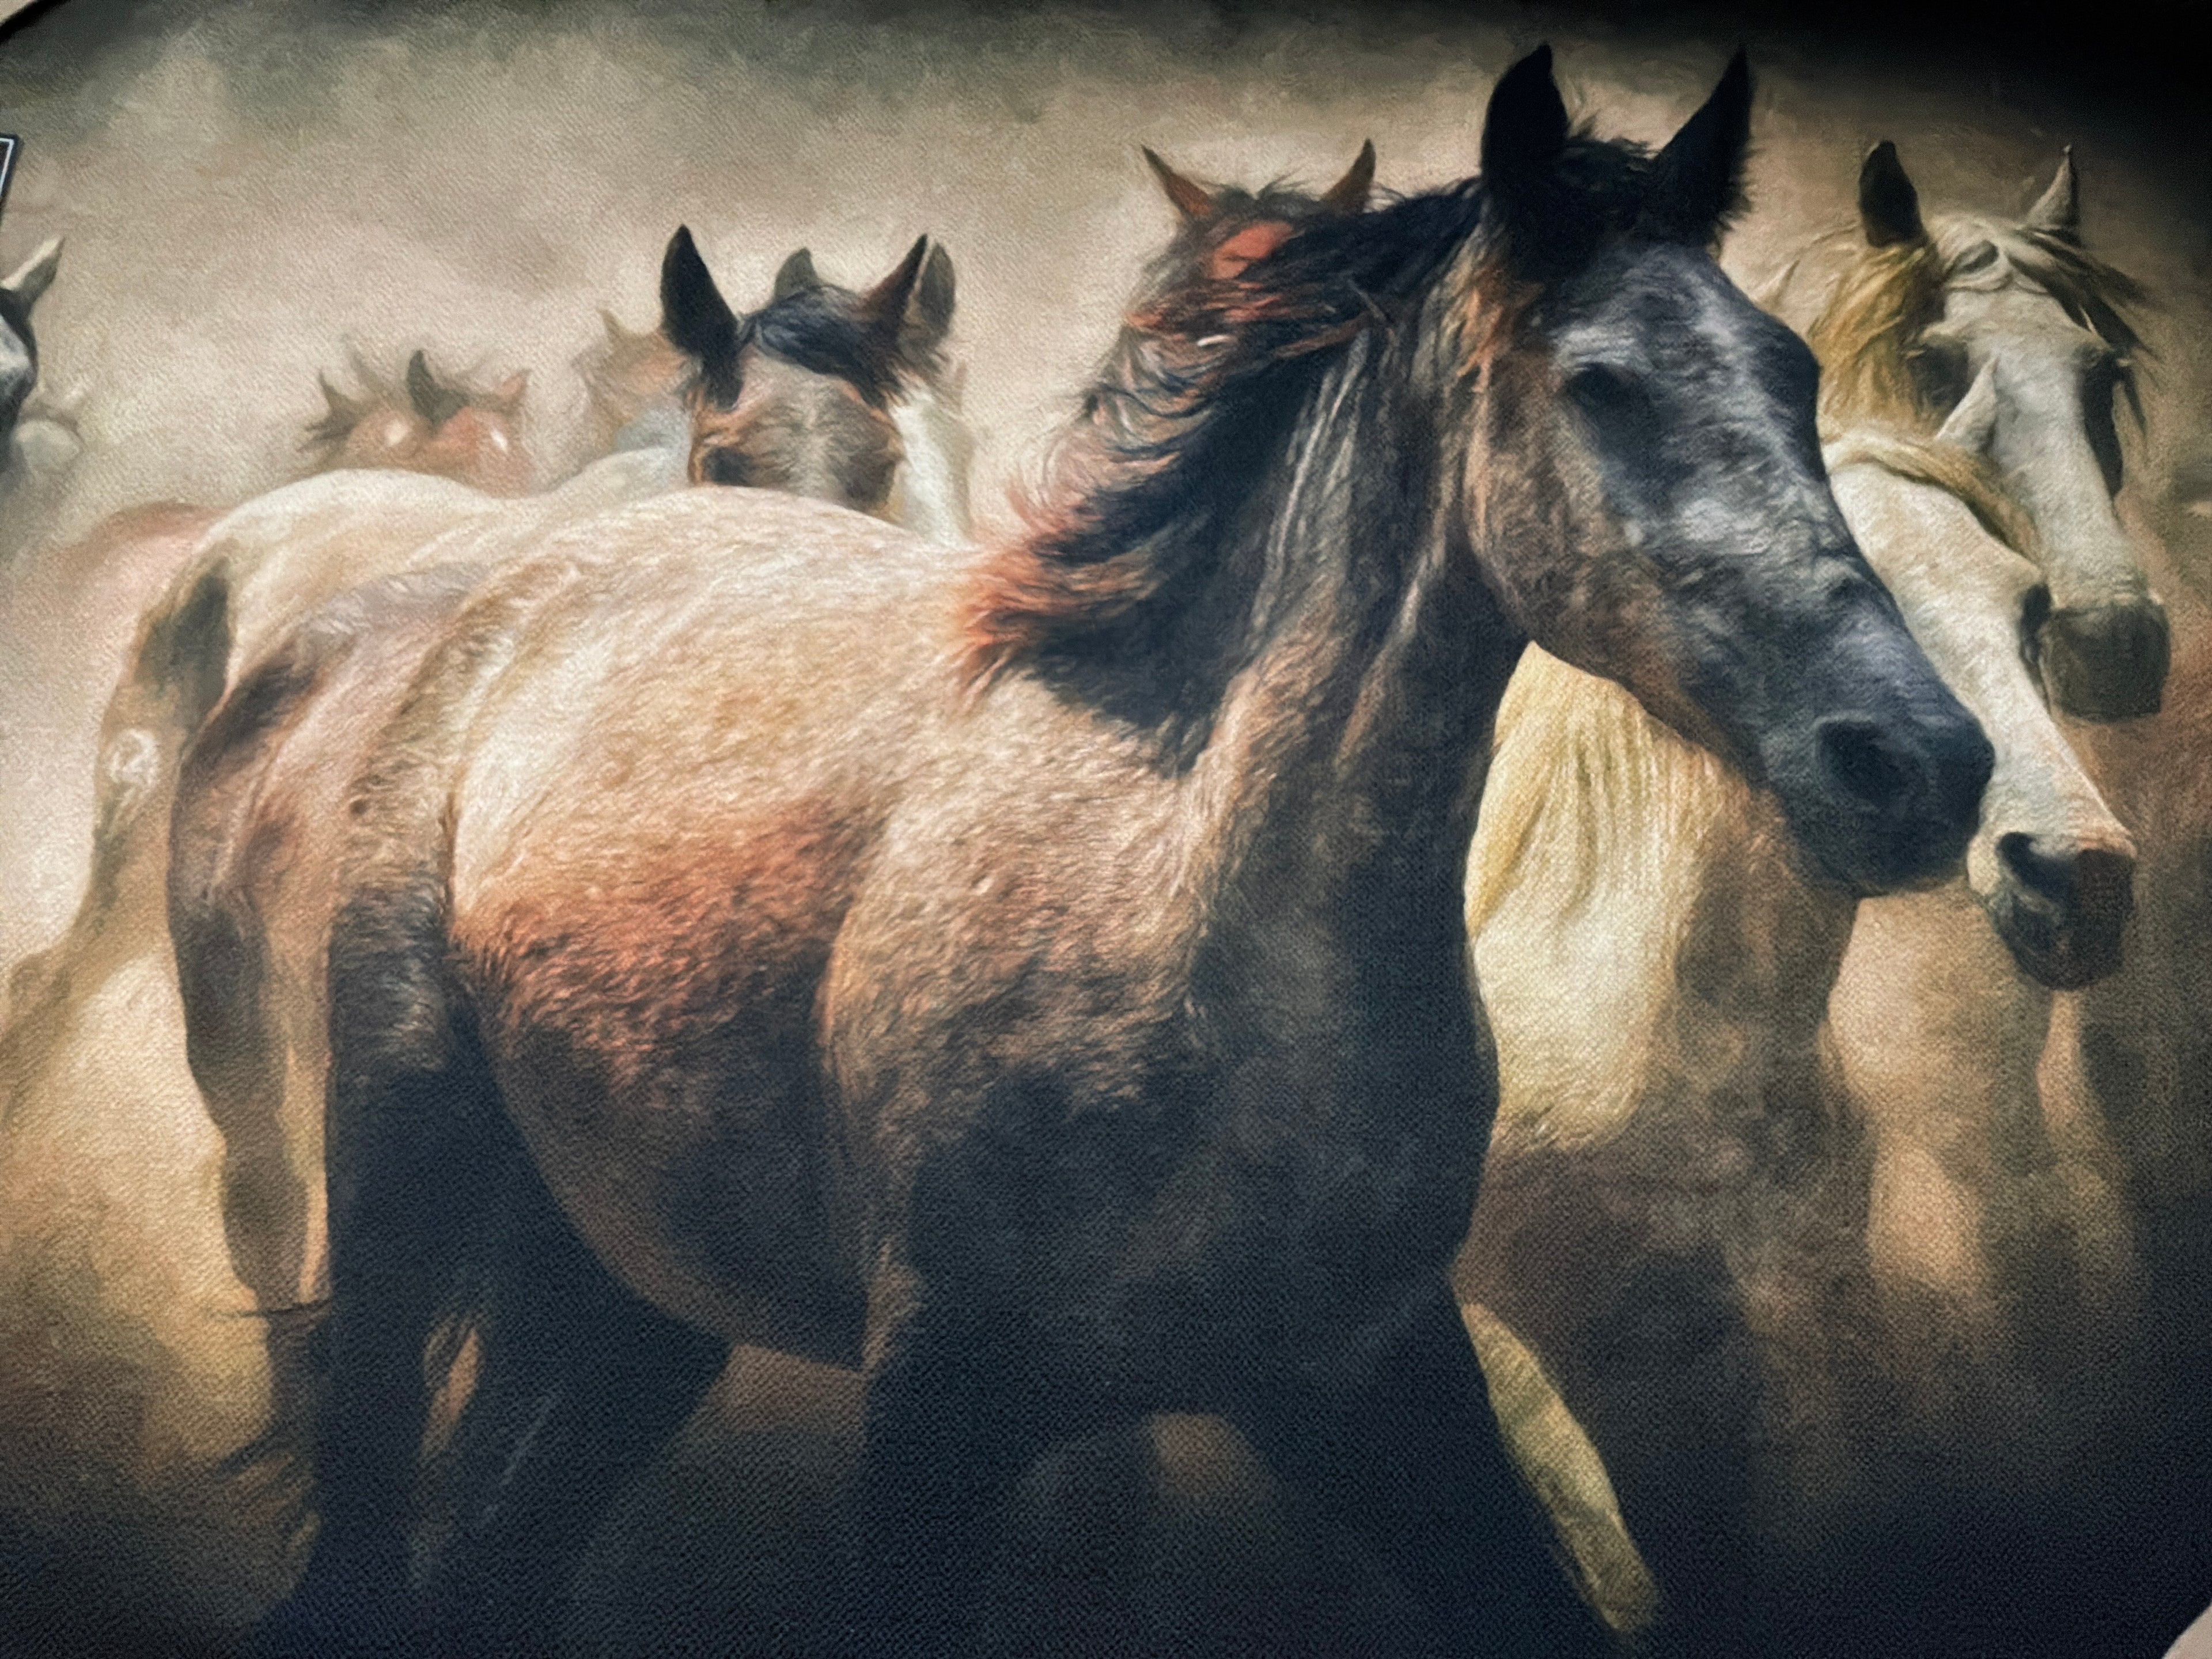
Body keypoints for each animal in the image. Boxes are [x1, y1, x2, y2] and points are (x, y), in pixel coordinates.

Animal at [211, 47, 1994, 1657]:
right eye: (1601, 382)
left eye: (1790, 372)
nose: (1917, 763)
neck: (1191, 913)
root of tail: (520, 597)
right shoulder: (940, 1415)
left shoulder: (1374, 1381)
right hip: (405, 1178)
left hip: (630, 1300)